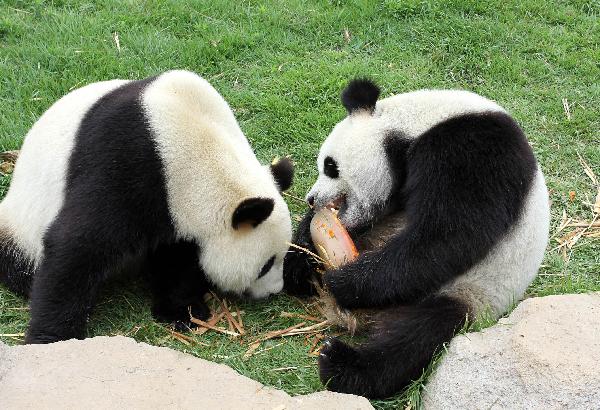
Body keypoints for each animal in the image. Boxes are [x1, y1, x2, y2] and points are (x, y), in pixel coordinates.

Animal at [0, 69, 294, 342]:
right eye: (266, 264)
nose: (274, 290)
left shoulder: (176, 211)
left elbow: (176, 259)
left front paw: (182, 310)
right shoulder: (126, 165)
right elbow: (78, 245)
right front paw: (51, 337)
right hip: (21, 221)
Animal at [284, 78, 552, 398]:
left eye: (330, 166)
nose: (312, 199)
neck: (411, 127)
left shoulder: (471, 150)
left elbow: (448, 236)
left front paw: (346, 281)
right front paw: (303, 248)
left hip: (471, 292)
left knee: (416, 335)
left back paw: (342, 364)